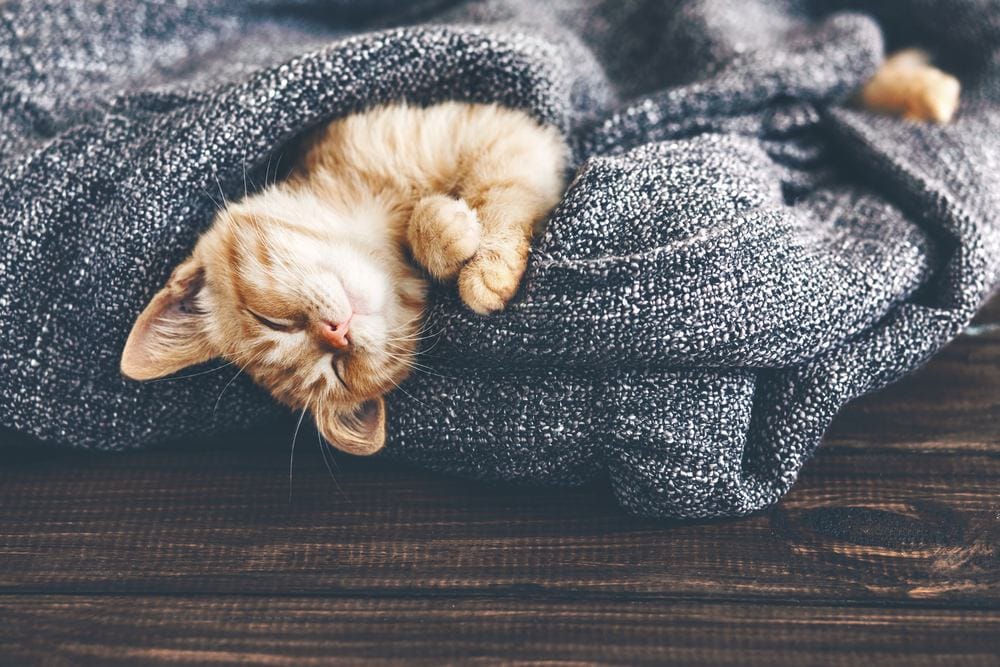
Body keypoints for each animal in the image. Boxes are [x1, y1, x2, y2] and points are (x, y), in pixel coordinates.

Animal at [118, 102, 572, 456]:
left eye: (272, 322)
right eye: (339, 369)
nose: (337, 334)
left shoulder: (495, 133)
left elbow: (503, 187)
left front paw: (485, 265)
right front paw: (445, 233)